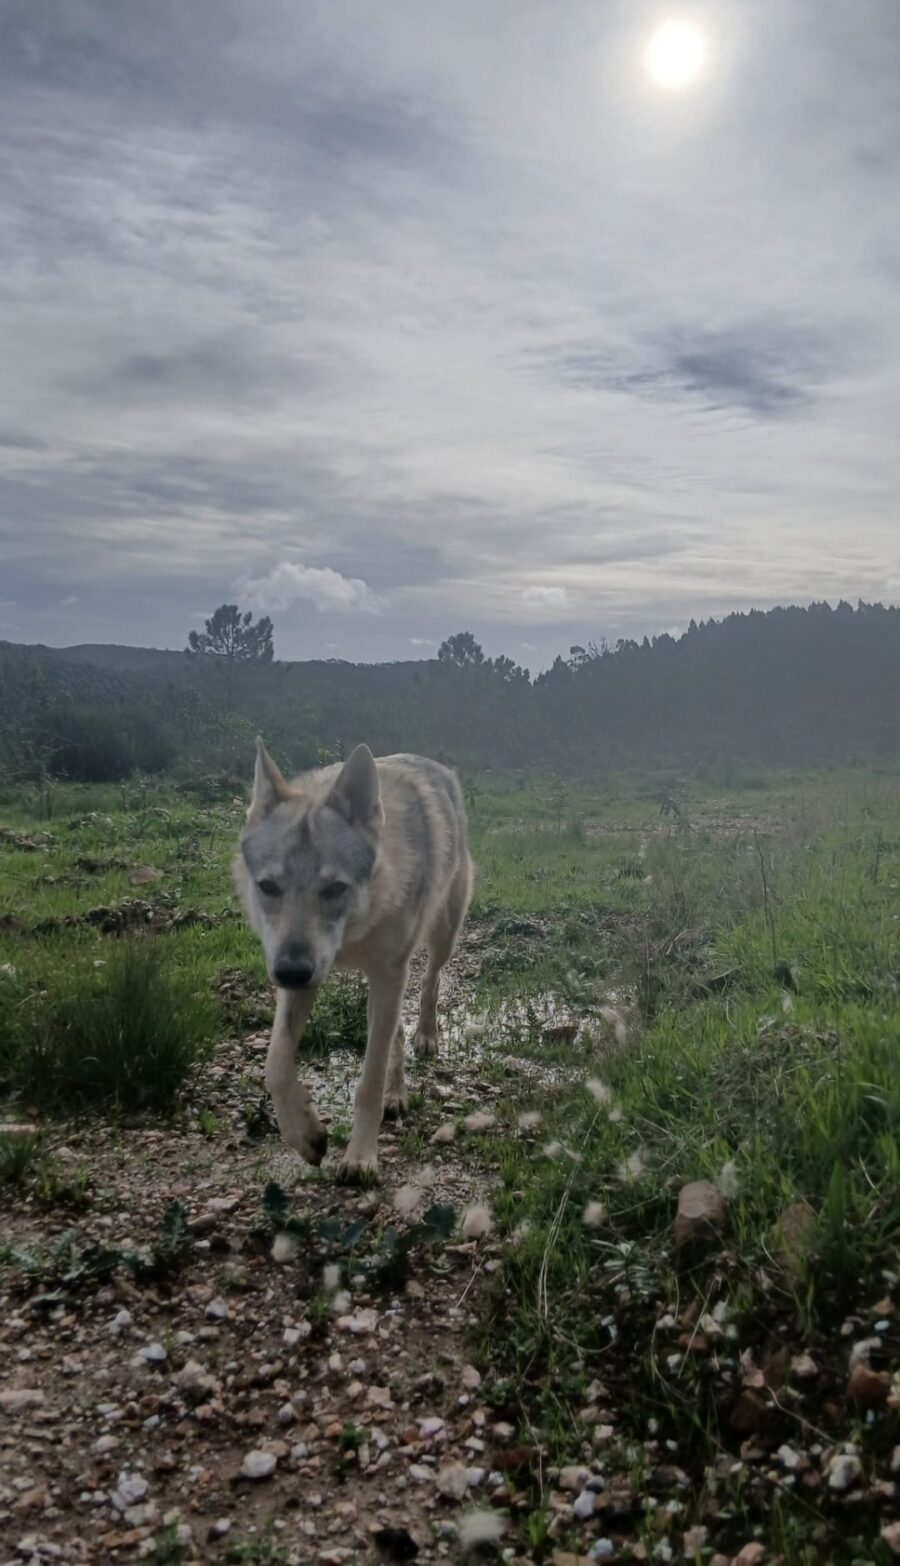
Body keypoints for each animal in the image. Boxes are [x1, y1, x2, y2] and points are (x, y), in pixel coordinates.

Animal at [234, 739, 473, 1182]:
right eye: (268, 887)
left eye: (334, 889)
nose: (291, 972)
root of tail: (436, 765)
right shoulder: (305, 977)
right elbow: (275, 1065)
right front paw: (306, 1135)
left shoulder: (388, 973)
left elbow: (369, 1082)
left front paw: (361, 1158)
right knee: (395, 1031)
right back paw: (397, 1092)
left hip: (441, 938)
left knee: (429, 984)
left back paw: (426, 1037)